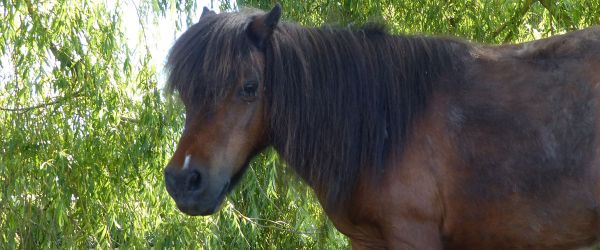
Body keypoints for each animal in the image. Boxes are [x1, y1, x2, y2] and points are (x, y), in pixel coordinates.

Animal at [162, 4, 600, 250]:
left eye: (249, 87)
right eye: (184, 90)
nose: (184, 180)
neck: (386, 125)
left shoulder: (411, 237)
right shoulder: (366, 241)